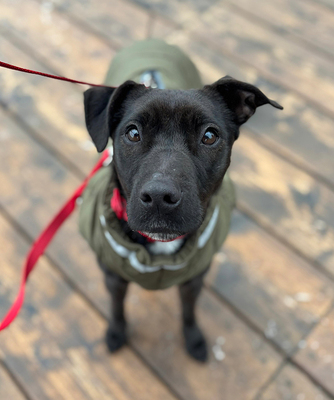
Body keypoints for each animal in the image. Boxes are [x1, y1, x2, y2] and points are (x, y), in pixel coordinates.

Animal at [81, 75, 282, 362]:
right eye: (132, 133)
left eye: (209, 136)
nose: (159, 196)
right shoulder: (114, 278)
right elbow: (117, 306)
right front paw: (116, 332)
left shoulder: (192, 281)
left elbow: (189, 311)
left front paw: (193, 338)